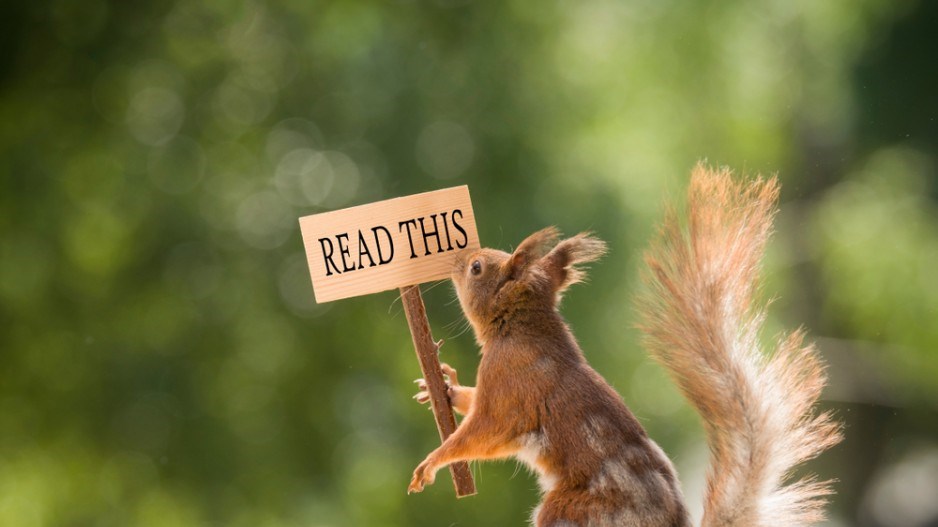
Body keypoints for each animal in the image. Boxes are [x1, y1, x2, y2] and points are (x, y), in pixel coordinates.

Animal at [406, 163, 836, 524]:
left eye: (476, 268)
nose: (456, 258)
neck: (520, 330)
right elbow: (472, 401)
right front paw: (444, 386)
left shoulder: (511, 386)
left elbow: (483, 431)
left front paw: (432, 461)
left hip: (574, 510)